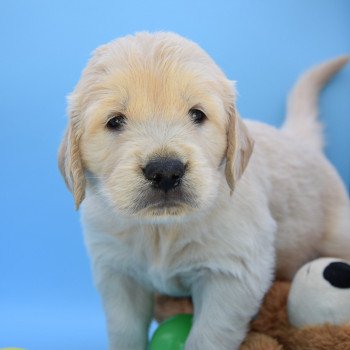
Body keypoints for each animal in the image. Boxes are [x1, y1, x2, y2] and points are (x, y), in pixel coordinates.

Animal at [58, 31, 348, 348]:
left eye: (197, 115)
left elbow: (208, 336)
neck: (161, 229)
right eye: (115, 121)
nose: (165, 171)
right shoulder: (118, 272)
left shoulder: (231, 275)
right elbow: (124, 331)